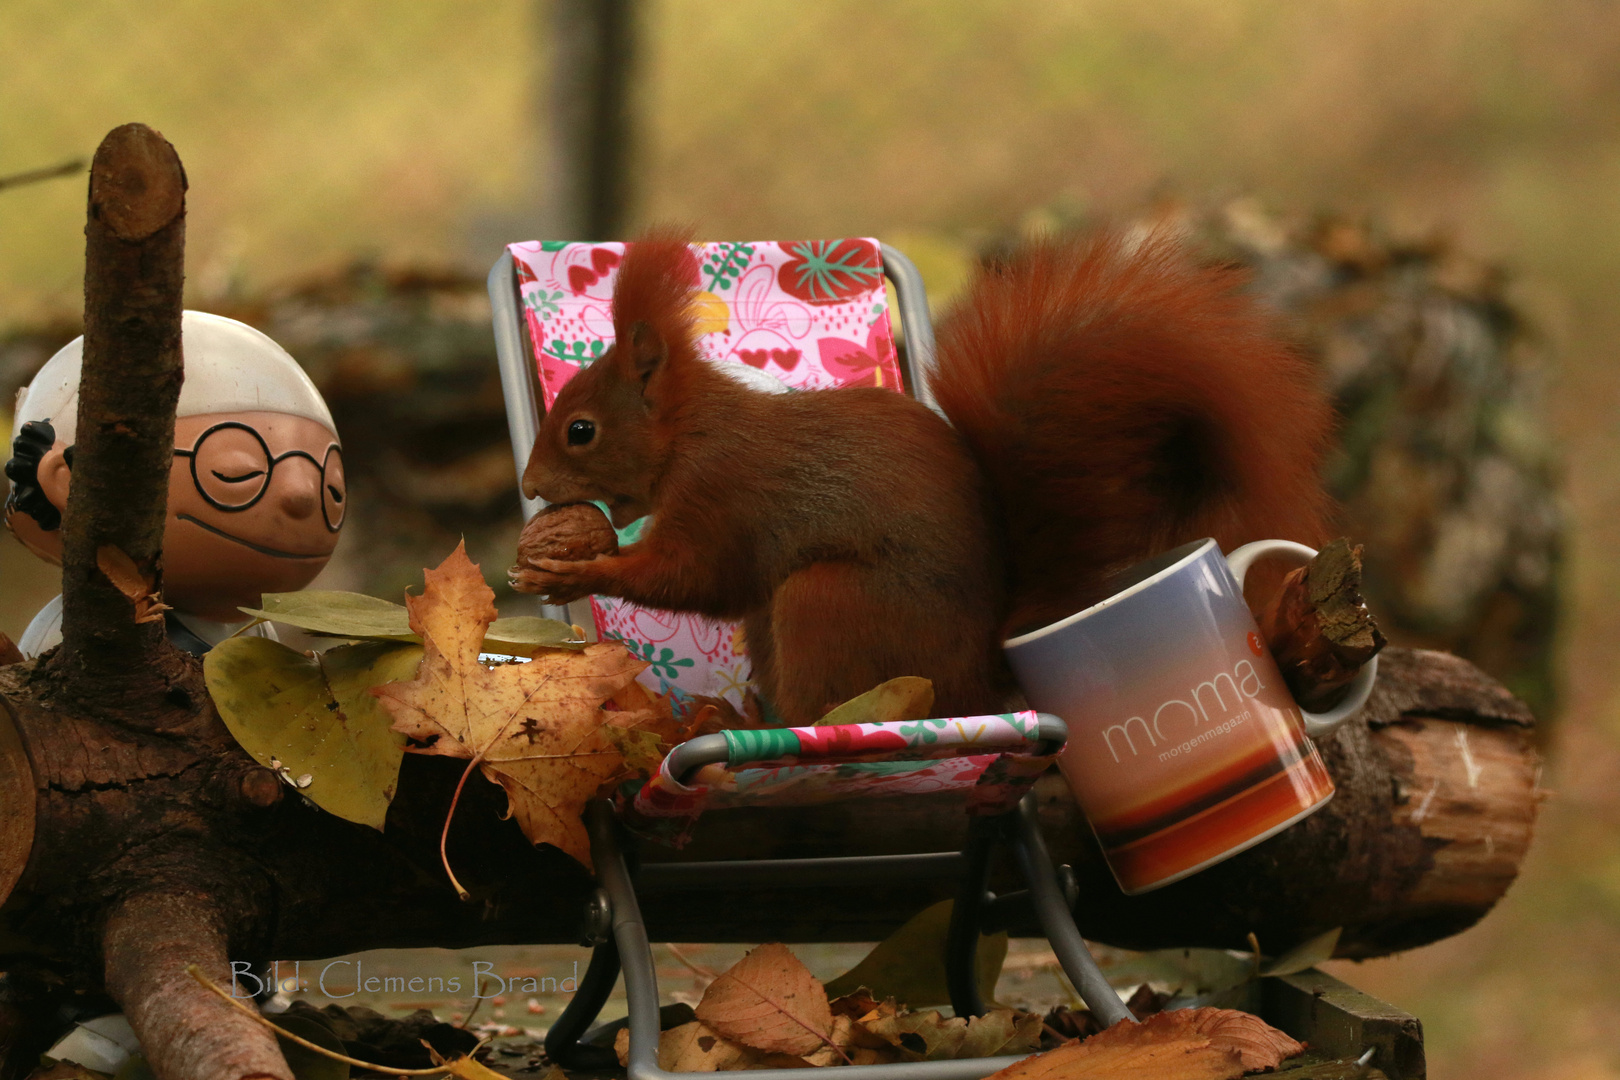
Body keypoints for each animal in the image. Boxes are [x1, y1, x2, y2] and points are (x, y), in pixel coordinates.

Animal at [518, 226, 1328, 725]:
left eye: (581, 431)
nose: (528, 488)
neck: (691, 432)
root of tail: (981, 670)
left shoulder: (723, 493)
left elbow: (693, 577)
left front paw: (579, 569)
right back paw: (741, 715)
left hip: (829, 603)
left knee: (825, 711)